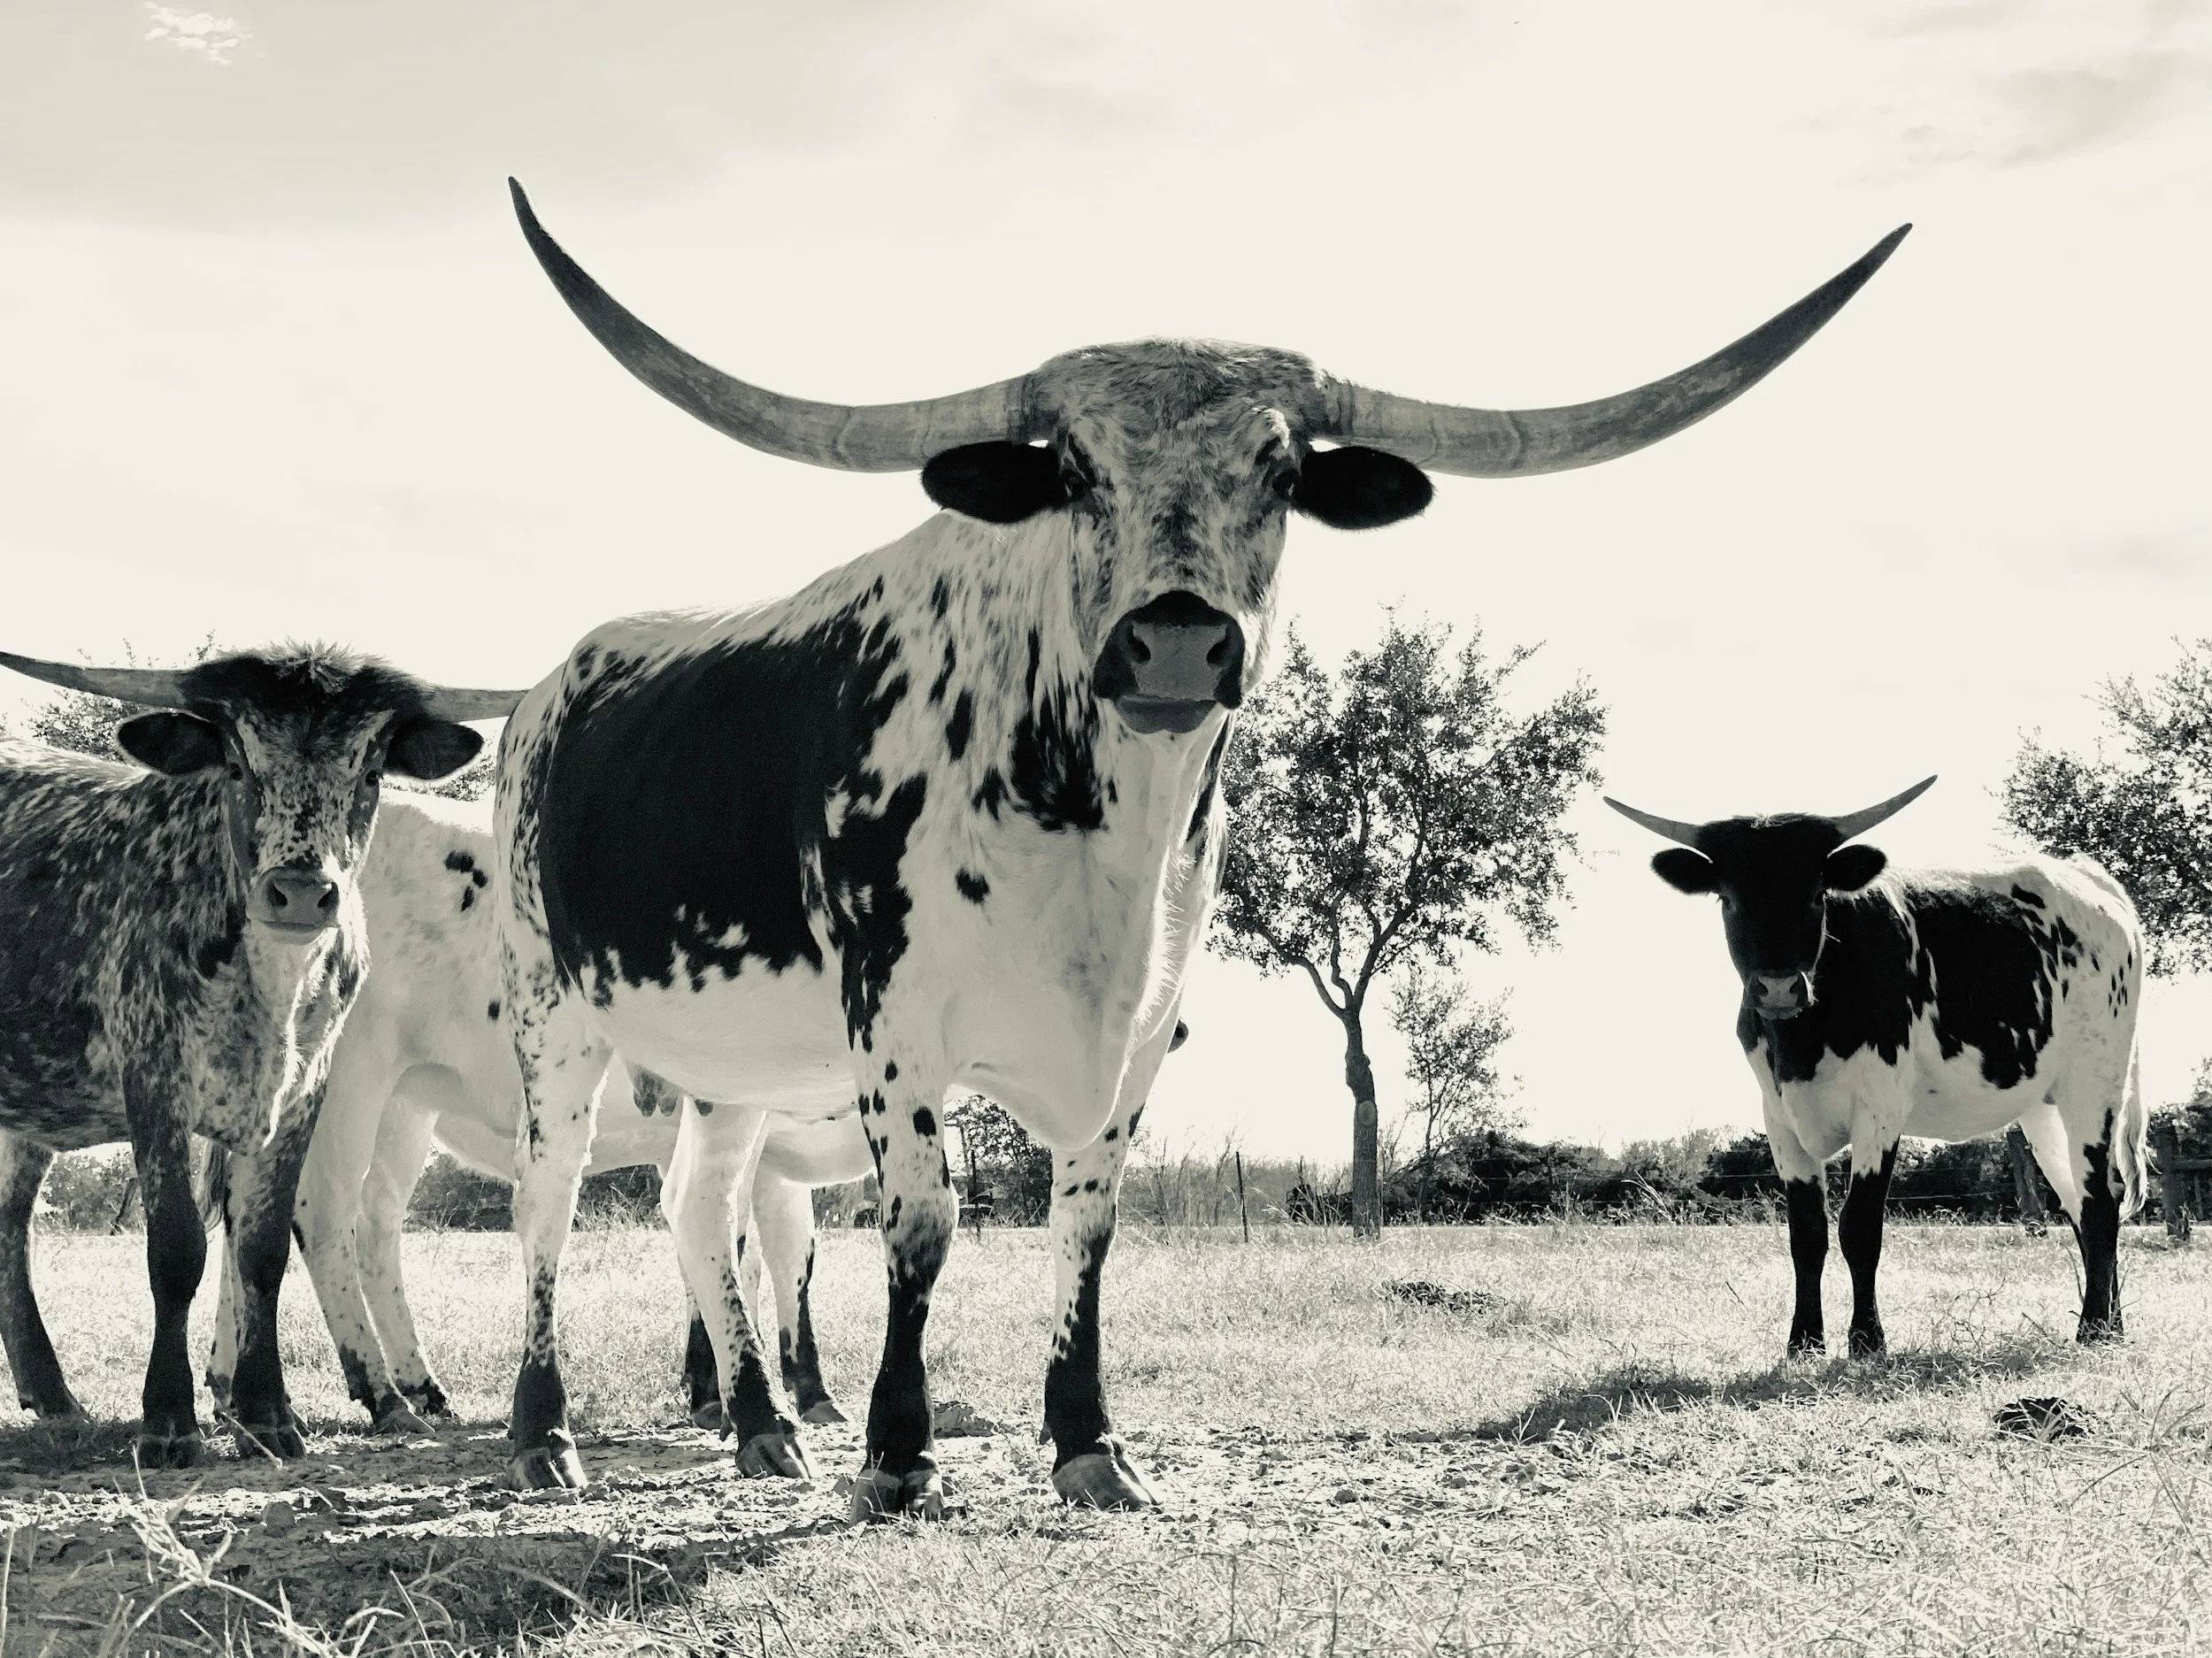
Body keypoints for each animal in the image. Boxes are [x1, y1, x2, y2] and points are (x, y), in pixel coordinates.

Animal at [0, 646, 514, 1465]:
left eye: (371, 770)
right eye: (238, 764)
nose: (301, 893)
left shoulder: (303, 1092)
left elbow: (263, 1248)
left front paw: (268, 1413)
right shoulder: (156, 1080)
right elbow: (176, 1250)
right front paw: (169, 1420)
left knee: (9, 1218)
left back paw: (51, 1393)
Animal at [490, 177, 1908, 1514]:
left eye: (1282, 475)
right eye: (1071, 468)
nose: (1175, 638)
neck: (1095, 827)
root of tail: (548, 687)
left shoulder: (1146, 1027)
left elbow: (1088, 1229)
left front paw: (1088, 1444)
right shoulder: (895, 1023)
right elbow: (923, 1227)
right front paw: (899, 1456)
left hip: (731, 1059)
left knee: (698, 1209)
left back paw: (760, 1426)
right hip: (553, 1015)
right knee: (546, 1201)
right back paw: (544, 1431)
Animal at [1606, 778, 2147, 1356]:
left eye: (1816, 894)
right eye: (1728, 898)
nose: (1778, 988)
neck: (1803, 1040)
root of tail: (2095, 883)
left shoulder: (1880, 1108)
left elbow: (1859, 1226)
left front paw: (1866, 1339)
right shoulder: (1778, 1116)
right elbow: (1807, 1232)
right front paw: (1804, 1340)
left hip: (2093, 1084)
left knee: (2099, 1201)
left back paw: (2093, 1329)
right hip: (2041, 1105)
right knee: (2079, 1201)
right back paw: (2113, 1324)